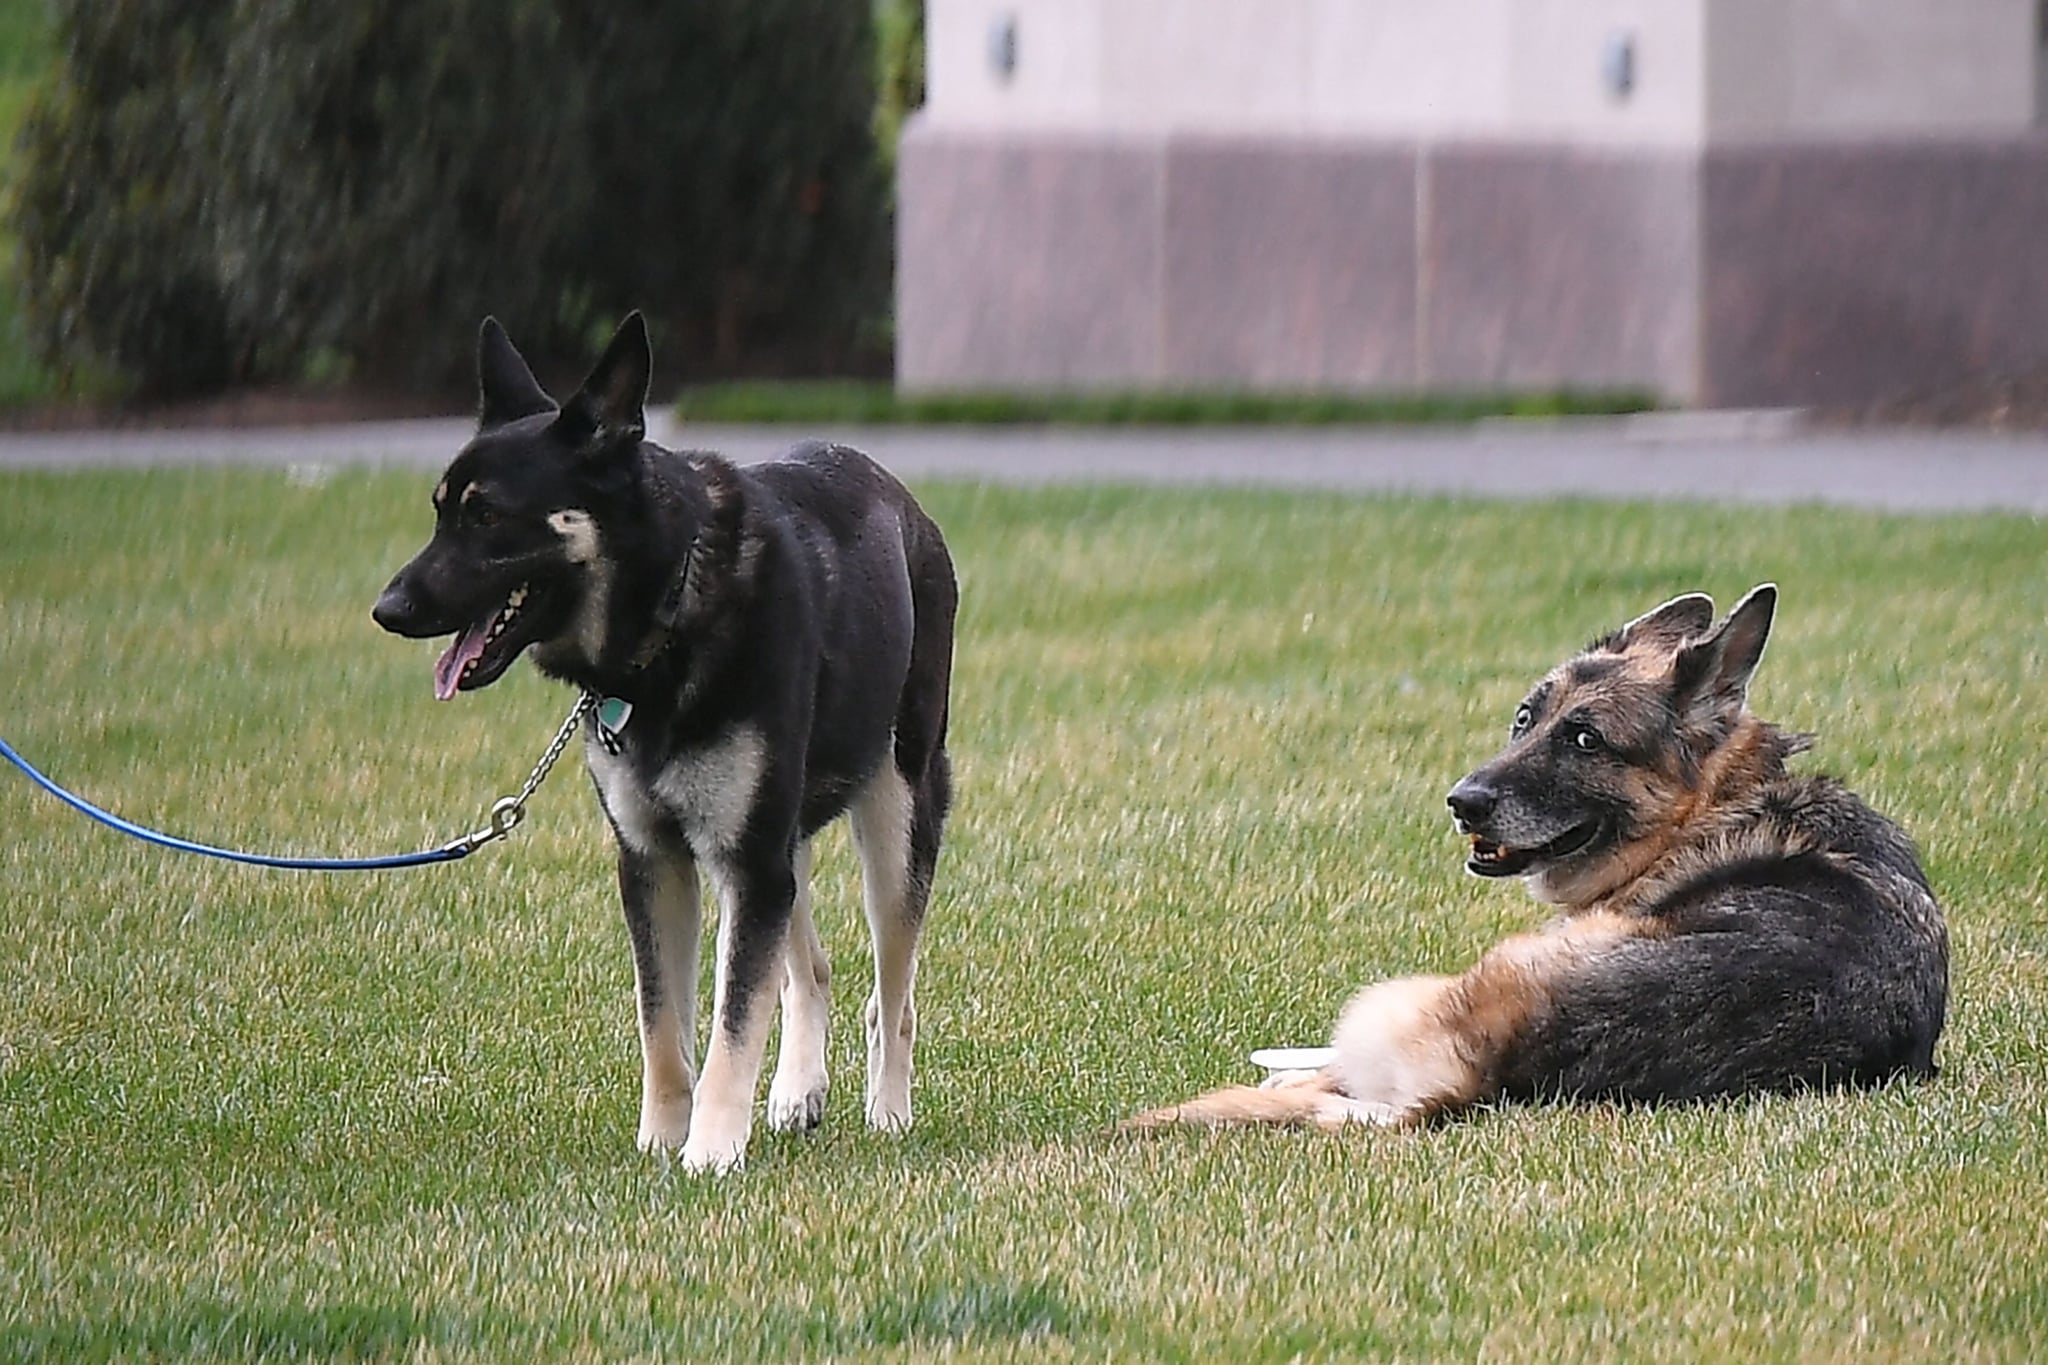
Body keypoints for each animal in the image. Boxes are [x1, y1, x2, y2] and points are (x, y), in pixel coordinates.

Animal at [372, 317, 954, 1178]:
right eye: (441, 511)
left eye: (487, 516)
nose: (388, 608)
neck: (669, 610)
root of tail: (901, 498)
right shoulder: (659, 862)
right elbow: (665, 1024)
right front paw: (662, 1139)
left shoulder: (745, 861)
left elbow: (732, 1023)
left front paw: (711, 1151)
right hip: (780, 841)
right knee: (810, 969)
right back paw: (799, 1089)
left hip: (895, 814)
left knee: (894, 992)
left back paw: (889, 1109)